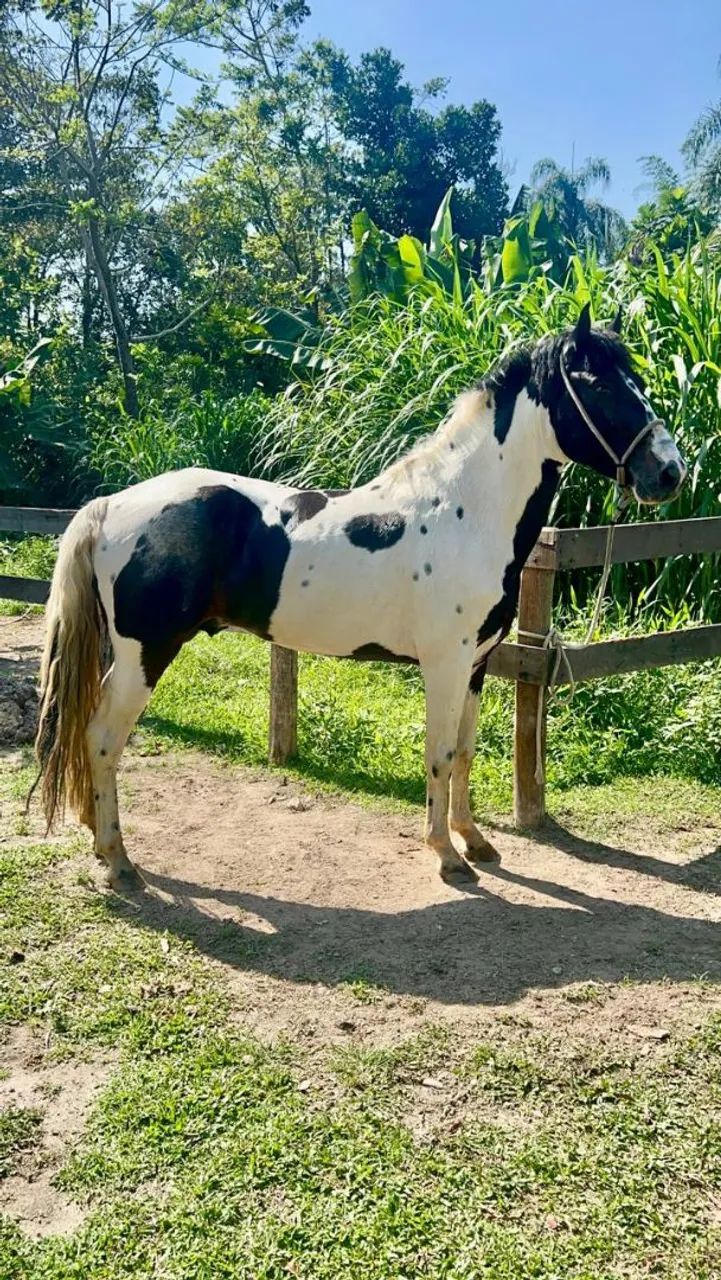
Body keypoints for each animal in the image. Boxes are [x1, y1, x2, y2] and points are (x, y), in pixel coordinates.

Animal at [34, 304, 686, 889]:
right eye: (599, 385)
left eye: (637, 380)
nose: (670, 473)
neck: (466, 512)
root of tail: (111, 505)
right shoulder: (445, 665)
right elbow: (440, 753)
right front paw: (446, 856)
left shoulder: (476, 664)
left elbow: (466, 752)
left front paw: (474, 841)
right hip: (145, 654)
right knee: (103, 740)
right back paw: (119, 862)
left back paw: (98, 840)